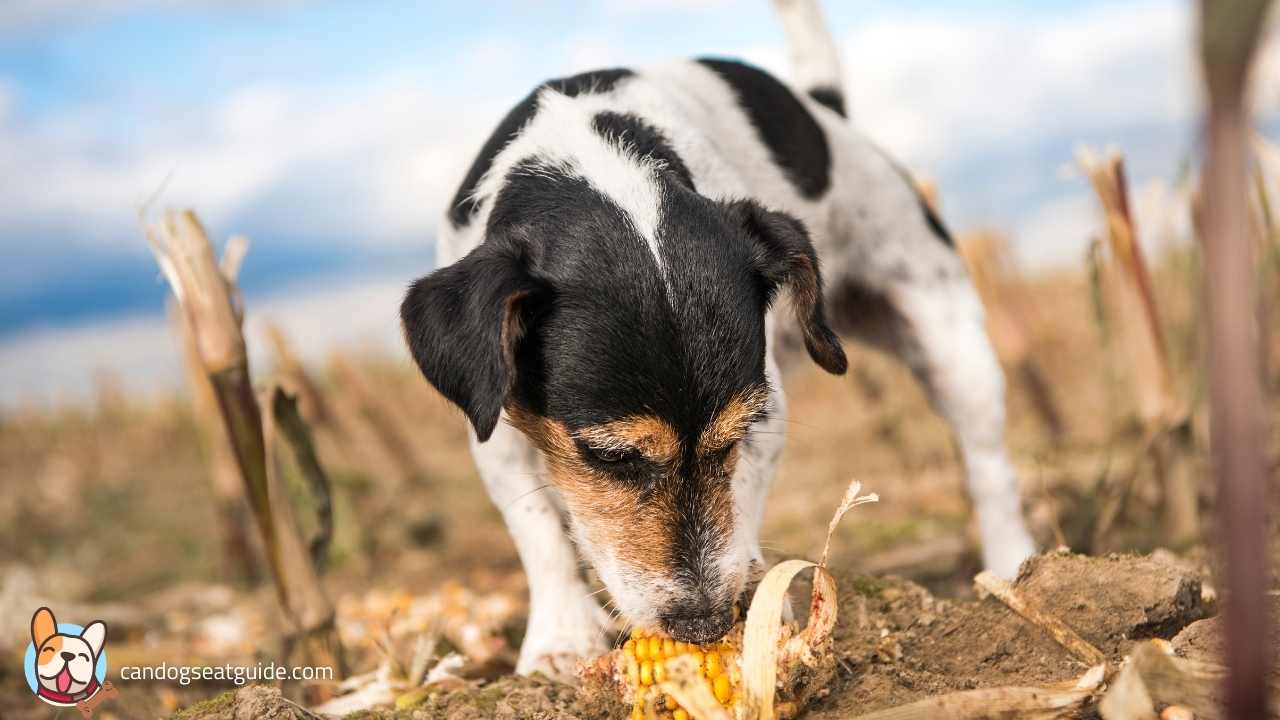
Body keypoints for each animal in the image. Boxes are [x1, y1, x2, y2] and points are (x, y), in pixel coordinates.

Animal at [399, 0, 1039, 676]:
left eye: (733, 439)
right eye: (610, 457)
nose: (704, 625)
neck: (592, 162)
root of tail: (826, 110)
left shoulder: (765, 412)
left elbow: (743, 497)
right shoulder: (491, 419)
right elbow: (537, 530)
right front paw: (560, 641)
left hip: (950, 337)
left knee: (989, 467)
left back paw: (1012, 574)